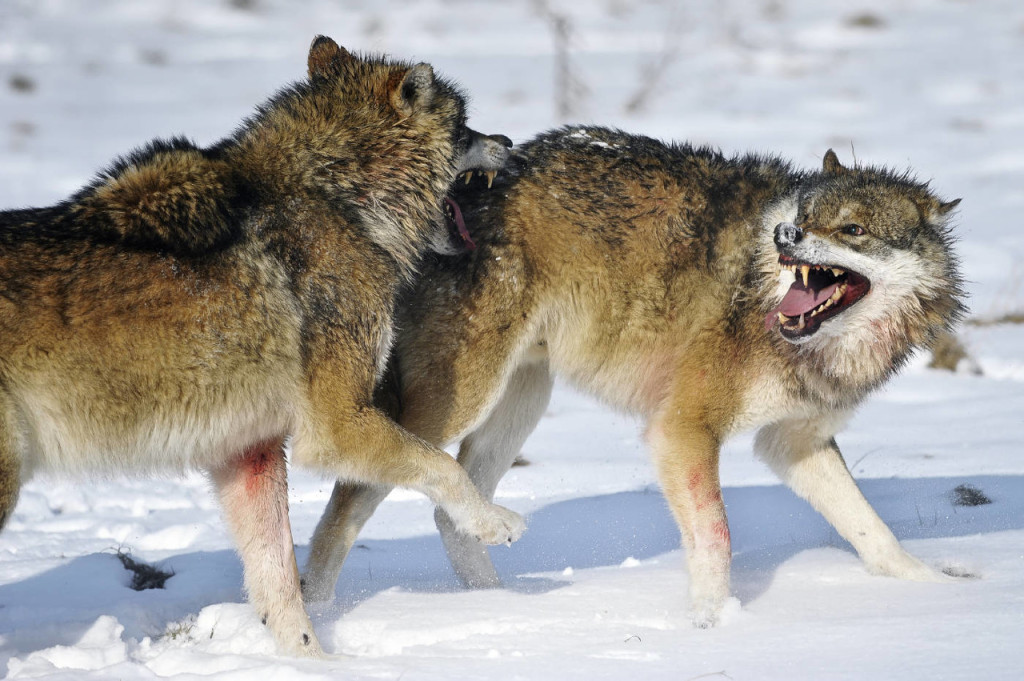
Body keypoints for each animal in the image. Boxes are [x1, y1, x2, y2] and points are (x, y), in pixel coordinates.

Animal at [0, 34, 524, 655]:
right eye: (465, 127)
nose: (510, 143)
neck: (344, 201)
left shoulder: (249, 452)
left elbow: (279, 585)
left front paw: (310, 661)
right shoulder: (337, 427)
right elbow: (442, 467)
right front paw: (495, 522)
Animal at [299, 125, 962, 626]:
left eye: (852, 230)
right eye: (805, 215)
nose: (786, 236)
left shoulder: (792, 441)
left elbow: (871, 528)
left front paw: (933, 586)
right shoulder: (682, 431)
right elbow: (716, 538)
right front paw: (714, 625)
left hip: (521, 403)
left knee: (451, 513)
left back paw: (499, 609)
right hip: (455, 404)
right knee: (350, 501)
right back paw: (318, 614)